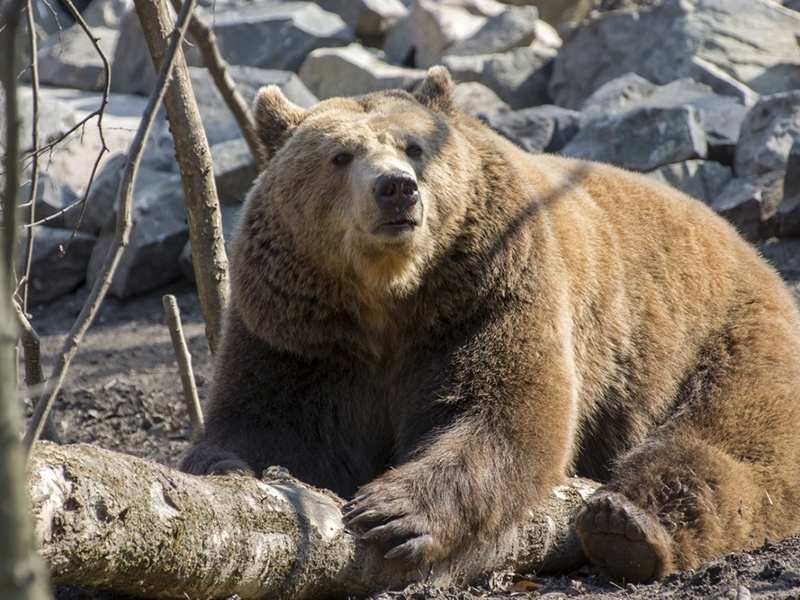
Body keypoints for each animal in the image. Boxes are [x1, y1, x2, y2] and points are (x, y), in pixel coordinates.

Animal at [181, 68, 800, 584]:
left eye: (414, 147)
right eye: (340, 155)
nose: (397, 188)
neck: (387, 298)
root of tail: (748, 247)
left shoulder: (489, 294)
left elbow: (500, 409)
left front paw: (392, 512)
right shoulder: (296, 336)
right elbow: (262, 423)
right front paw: (228, 469)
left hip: (718, 334)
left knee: (730, 437)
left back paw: (626, 525)